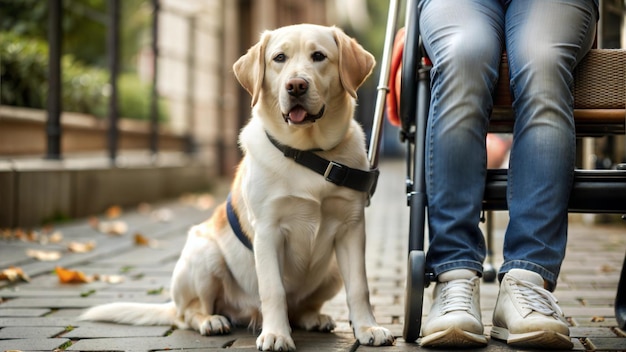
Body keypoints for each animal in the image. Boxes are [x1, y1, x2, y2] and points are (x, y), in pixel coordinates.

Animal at [78, 23, 392, 350]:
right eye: (279, 58)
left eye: (319, 56)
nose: (295, 86)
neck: (309, 154)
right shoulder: (268, 231)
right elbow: (273, 289)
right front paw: (276, 334)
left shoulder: (351, 229)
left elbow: (360, 287)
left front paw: (367, 327)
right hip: (204, 253)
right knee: (189, 313)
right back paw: (212, 321)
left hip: (331, 271)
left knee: (299, 308)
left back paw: (312, 317)